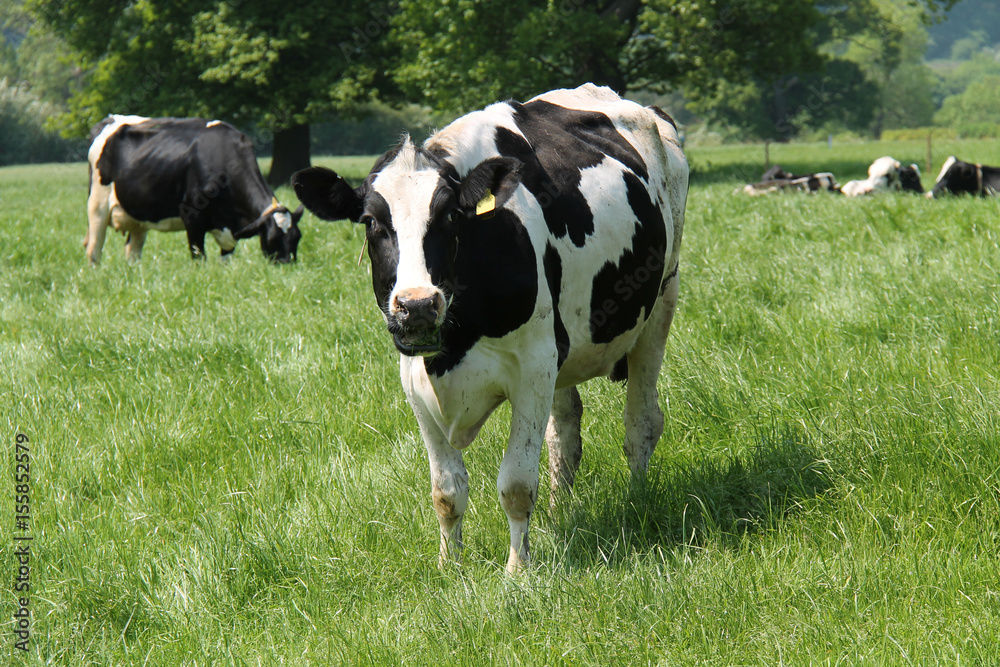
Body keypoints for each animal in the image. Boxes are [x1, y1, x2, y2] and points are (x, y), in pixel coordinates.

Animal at [85, 115, 304, 264]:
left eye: (297, 237)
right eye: (272, 239)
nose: (287, 266)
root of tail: (109, 119)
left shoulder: (228, 230)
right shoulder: (192, 219)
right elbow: (199, 257)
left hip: (138, 216)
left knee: (133, 251)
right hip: (97, 206)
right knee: (93, 249)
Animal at [292, 83, 692, 572]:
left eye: (450, 216)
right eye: (370, 222)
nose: (417, 305)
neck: (455, 345)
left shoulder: (533, 368)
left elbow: (516, 483)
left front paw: (517, 571)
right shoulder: (415, 378)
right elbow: (446, 490)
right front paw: (449, 567)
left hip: (661, 301)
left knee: (641, 423)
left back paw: (636, 502)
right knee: (564, 436)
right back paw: (559, 516)